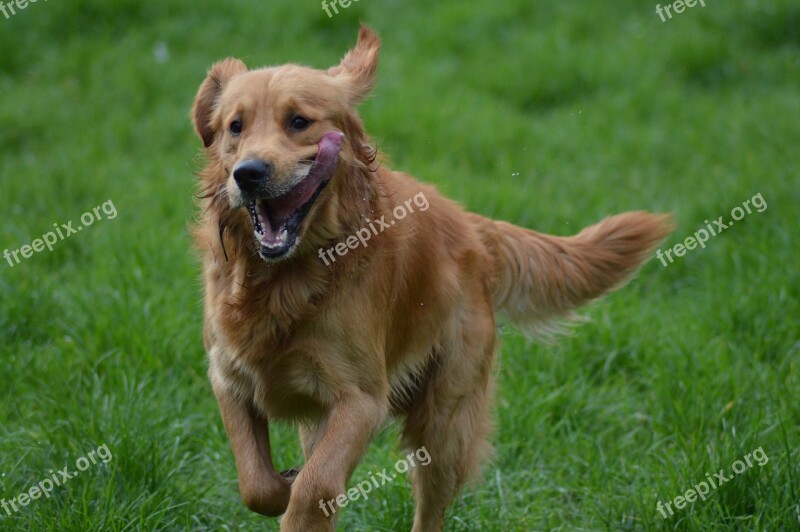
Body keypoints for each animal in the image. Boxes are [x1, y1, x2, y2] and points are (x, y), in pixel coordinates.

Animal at [191, 22, 672, 528]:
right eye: (235, 126)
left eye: (299, 121)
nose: (248, 173)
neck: (285, 280)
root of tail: (473, 227)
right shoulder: (228, 378)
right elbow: (256, 484)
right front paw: (282, 486)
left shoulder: (361, 398)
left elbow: (315, 485)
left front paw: (297, 495)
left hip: (444, 424)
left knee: (430, 507)